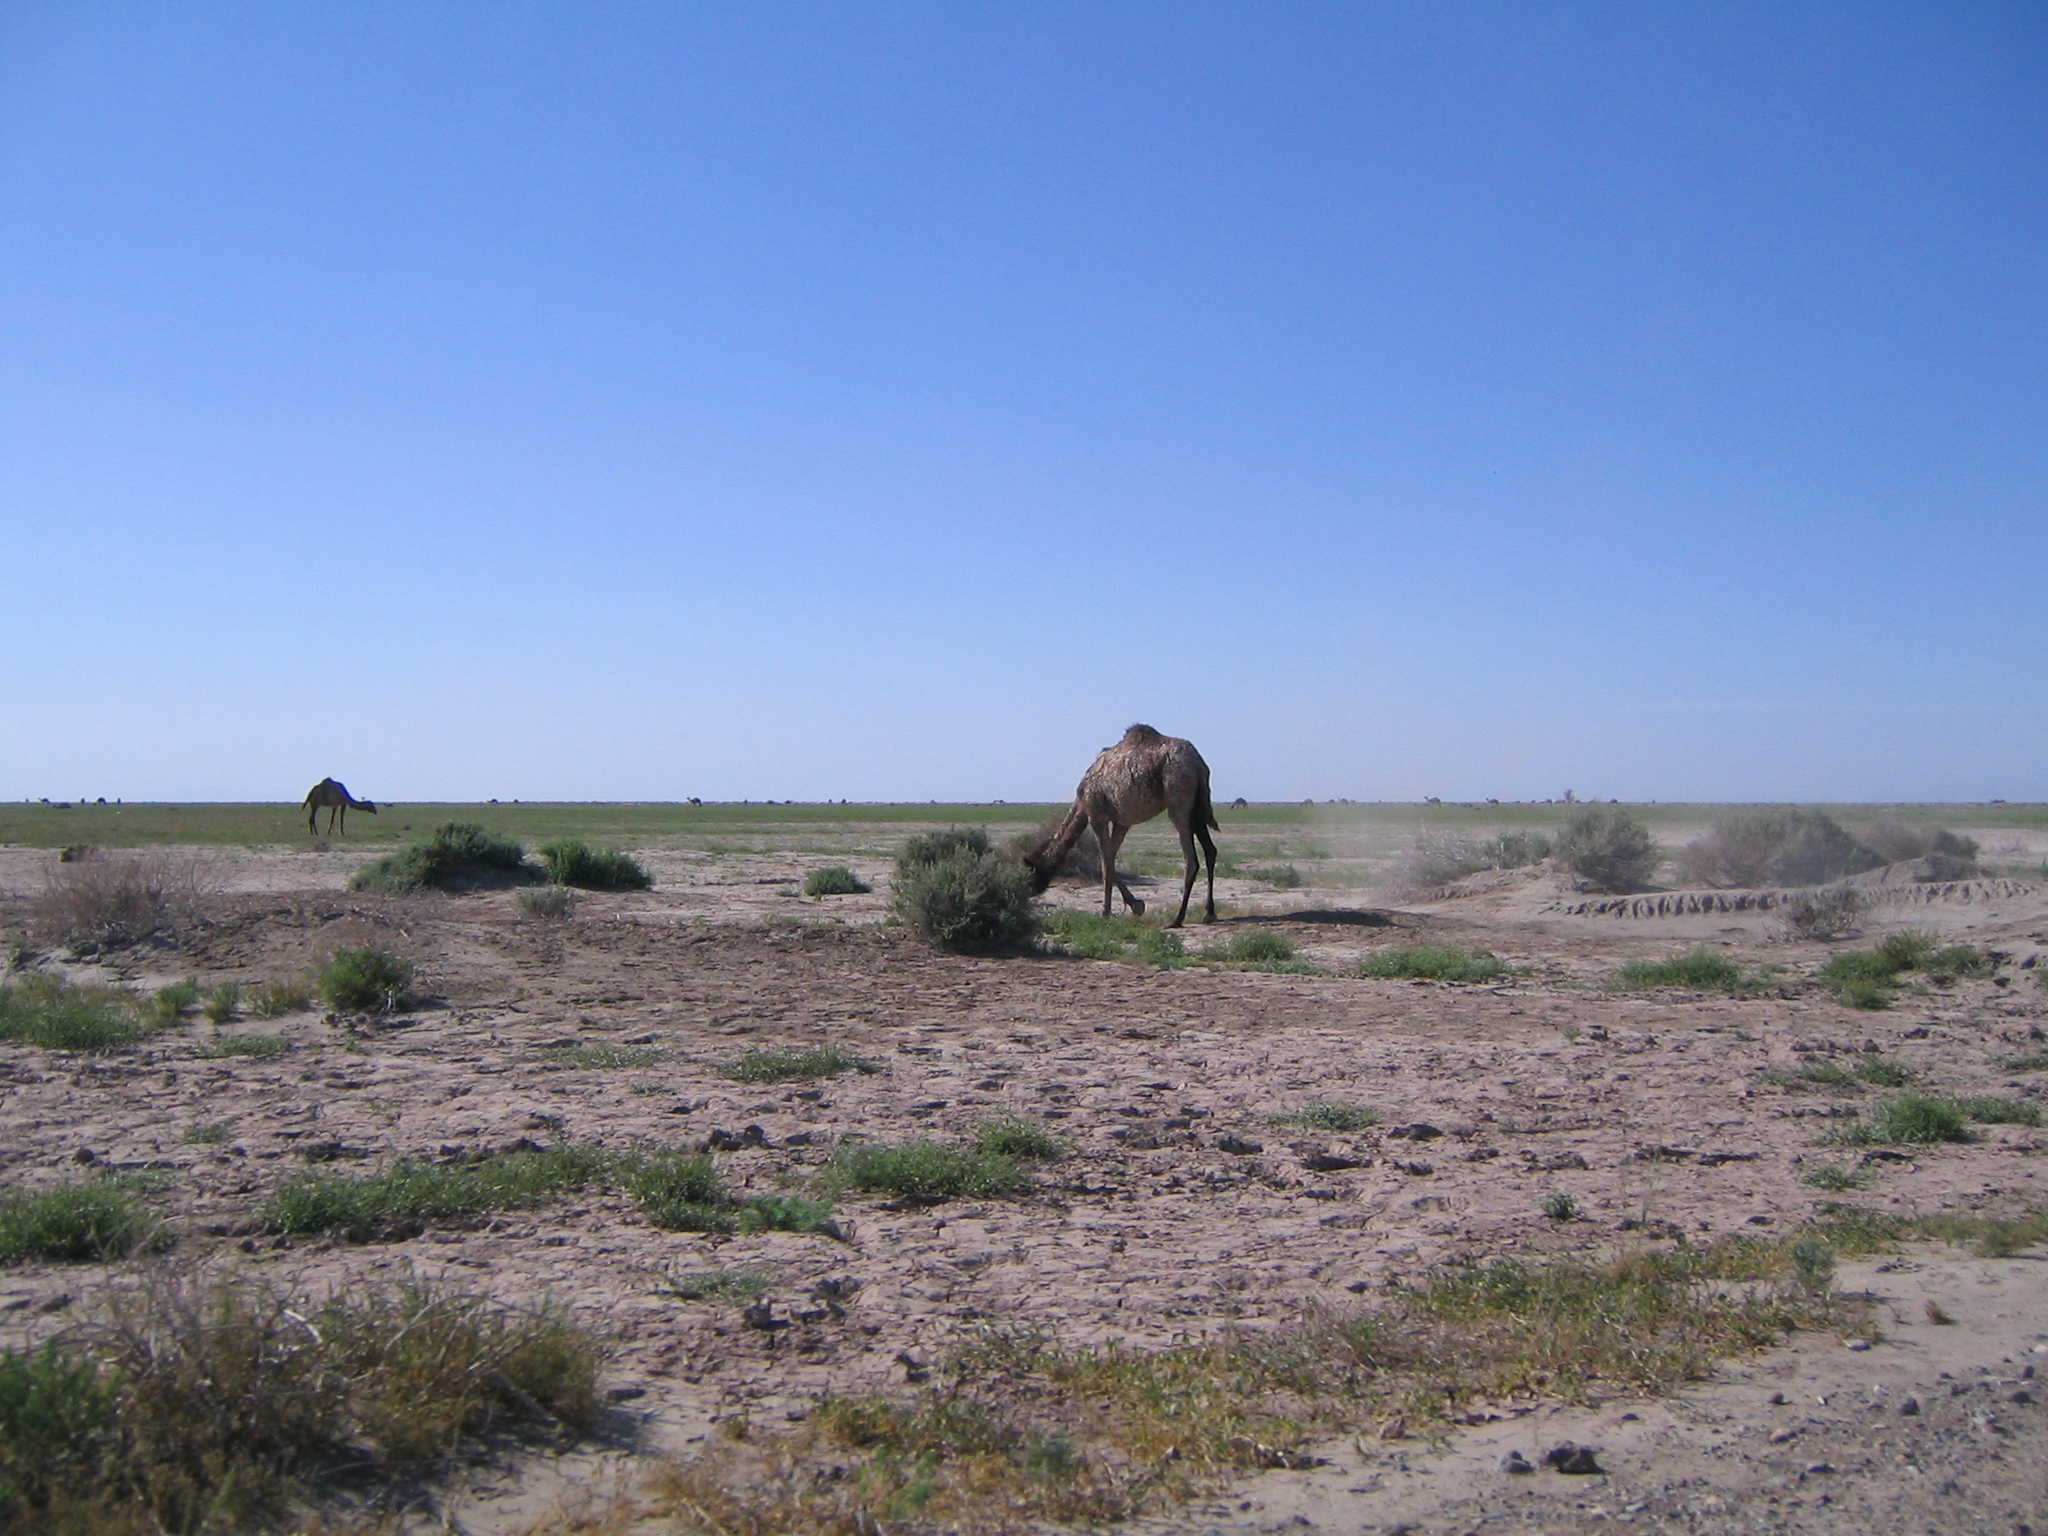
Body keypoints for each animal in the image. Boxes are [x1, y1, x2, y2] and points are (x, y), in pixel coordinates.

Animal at [1019, 729, 1212, 933]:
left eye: (1032, 873)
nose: (1029, 891)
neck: (1081, 800)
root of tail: (1197, 763)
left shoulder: (1096, 815)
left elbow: (1105, 863)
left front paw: (1106, 912)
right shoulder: (1122, 822)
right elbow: (1110, 860)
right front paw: (1136, 905)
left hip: (1178, 797)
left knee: (1190, 858)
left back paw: (1177, 918)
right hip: (1198, 807)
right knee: (1210, 850)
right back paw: (1209, 913)